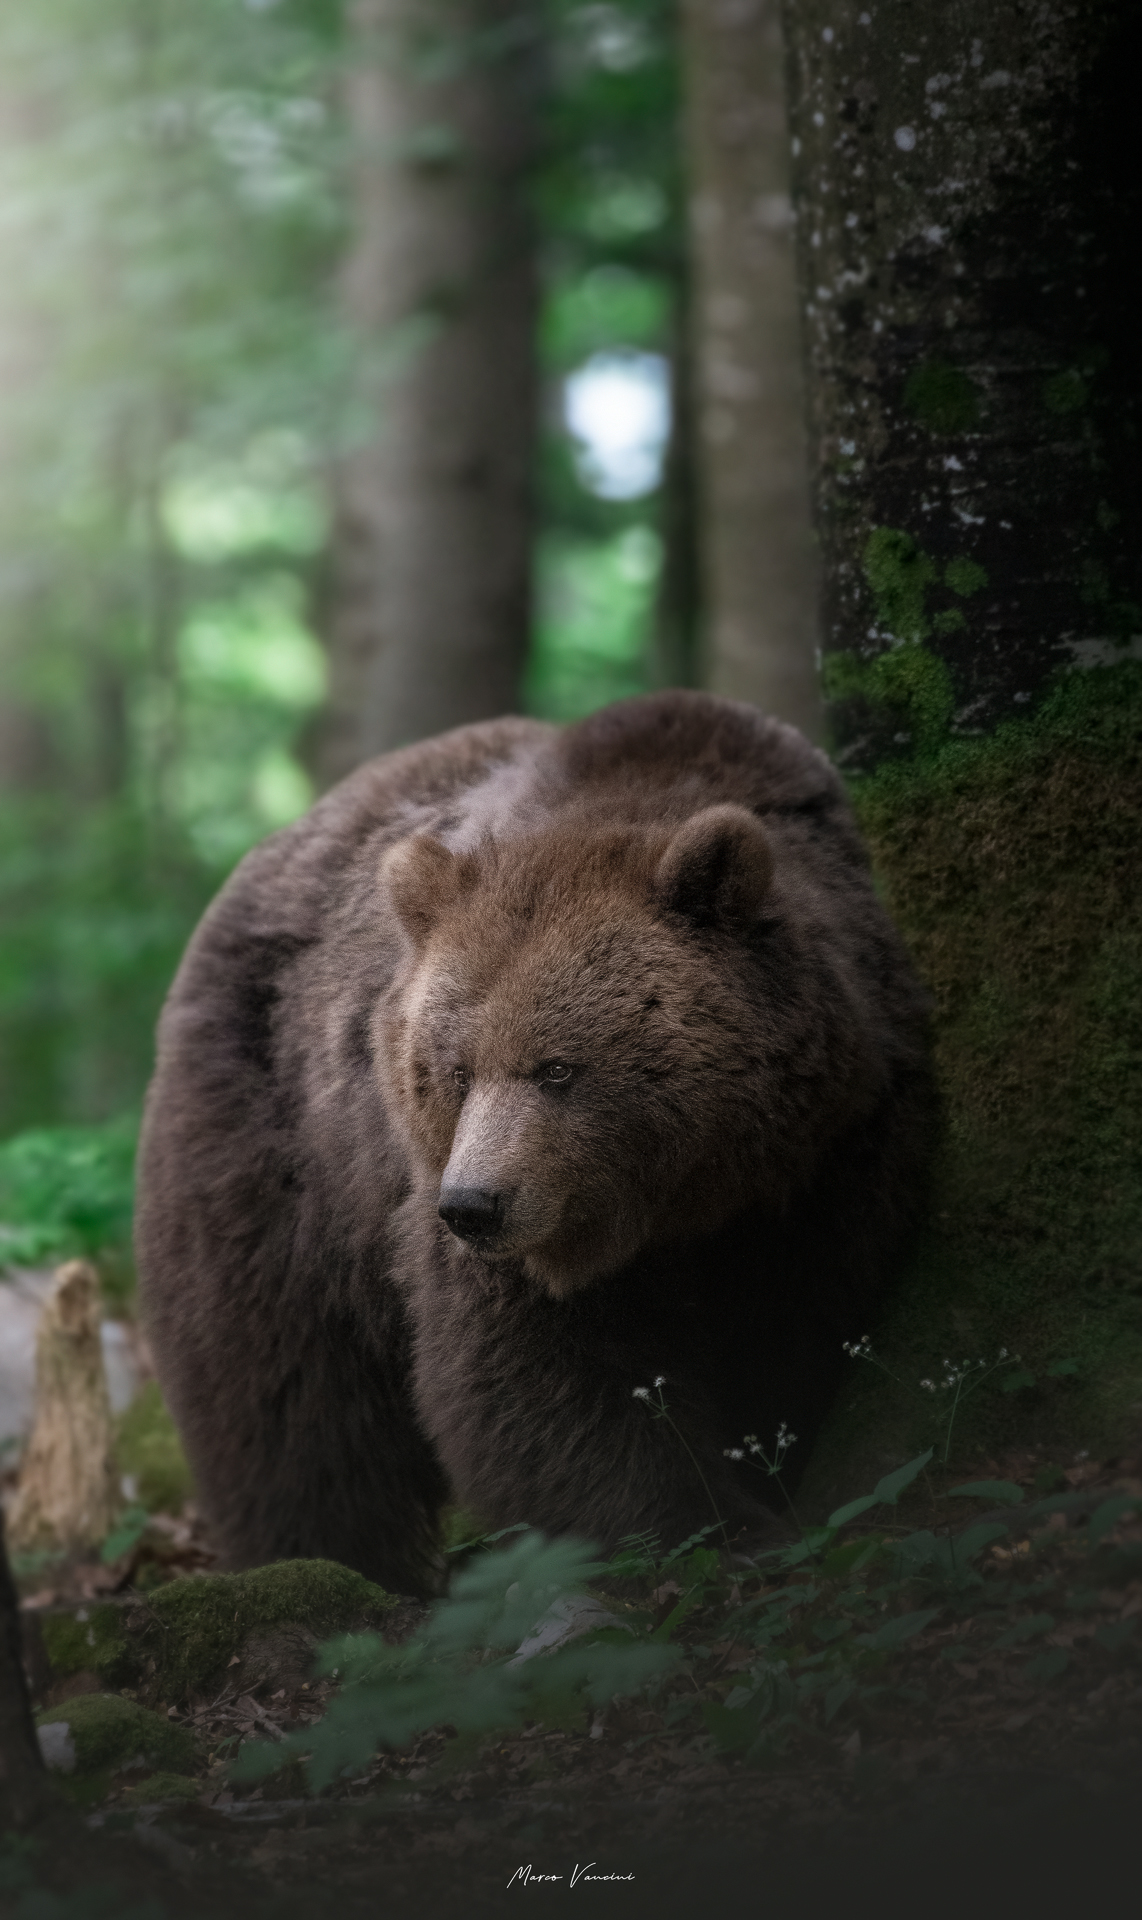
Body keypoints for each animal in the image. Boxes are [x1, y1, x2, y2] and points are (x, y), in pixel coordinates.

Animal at [135, 692, 936, 1597]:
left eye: (557, 1066)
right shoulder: (490, 1213)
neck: (688, 1194)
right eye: (455, 1069)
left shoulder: (836, 1147)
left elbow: (800, 1324)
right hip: (273, 1148)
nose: (472, 1206)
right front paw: (697, 1524)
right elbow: (541, 1374)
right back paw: (324, 1557)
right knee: (286, 1395)